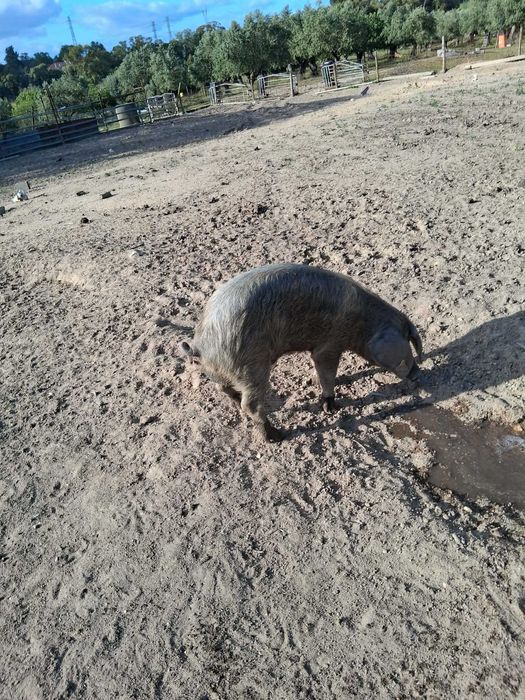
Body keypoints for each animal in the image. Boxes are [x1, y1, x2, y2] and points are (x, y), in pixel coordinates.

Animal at [181, 263, 423, 442]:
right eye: (407, 340)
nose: (418, 374)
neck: (364, 323)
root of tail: (200, 344)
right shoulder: (329, 344)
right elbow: (327, 373)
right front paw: (330, 407)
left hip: (224, 371)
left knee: (224, 390)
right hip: (251, 367)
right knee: (250, 404)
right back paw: (276, 436)